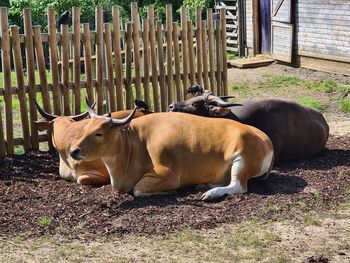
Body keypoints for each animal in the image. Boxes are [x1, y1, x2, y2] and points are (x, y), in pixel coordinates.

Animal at [69, 102, 274, 201]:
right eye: (85, 127)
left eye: (99, 133)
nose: (73, 151)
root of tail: (266, 140)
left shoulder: (168, 175)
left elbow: (138, 189)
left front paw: (168, 192)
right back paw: (205, 185)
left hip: (241, 161)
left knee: (239, 187)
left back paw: (211, 193)